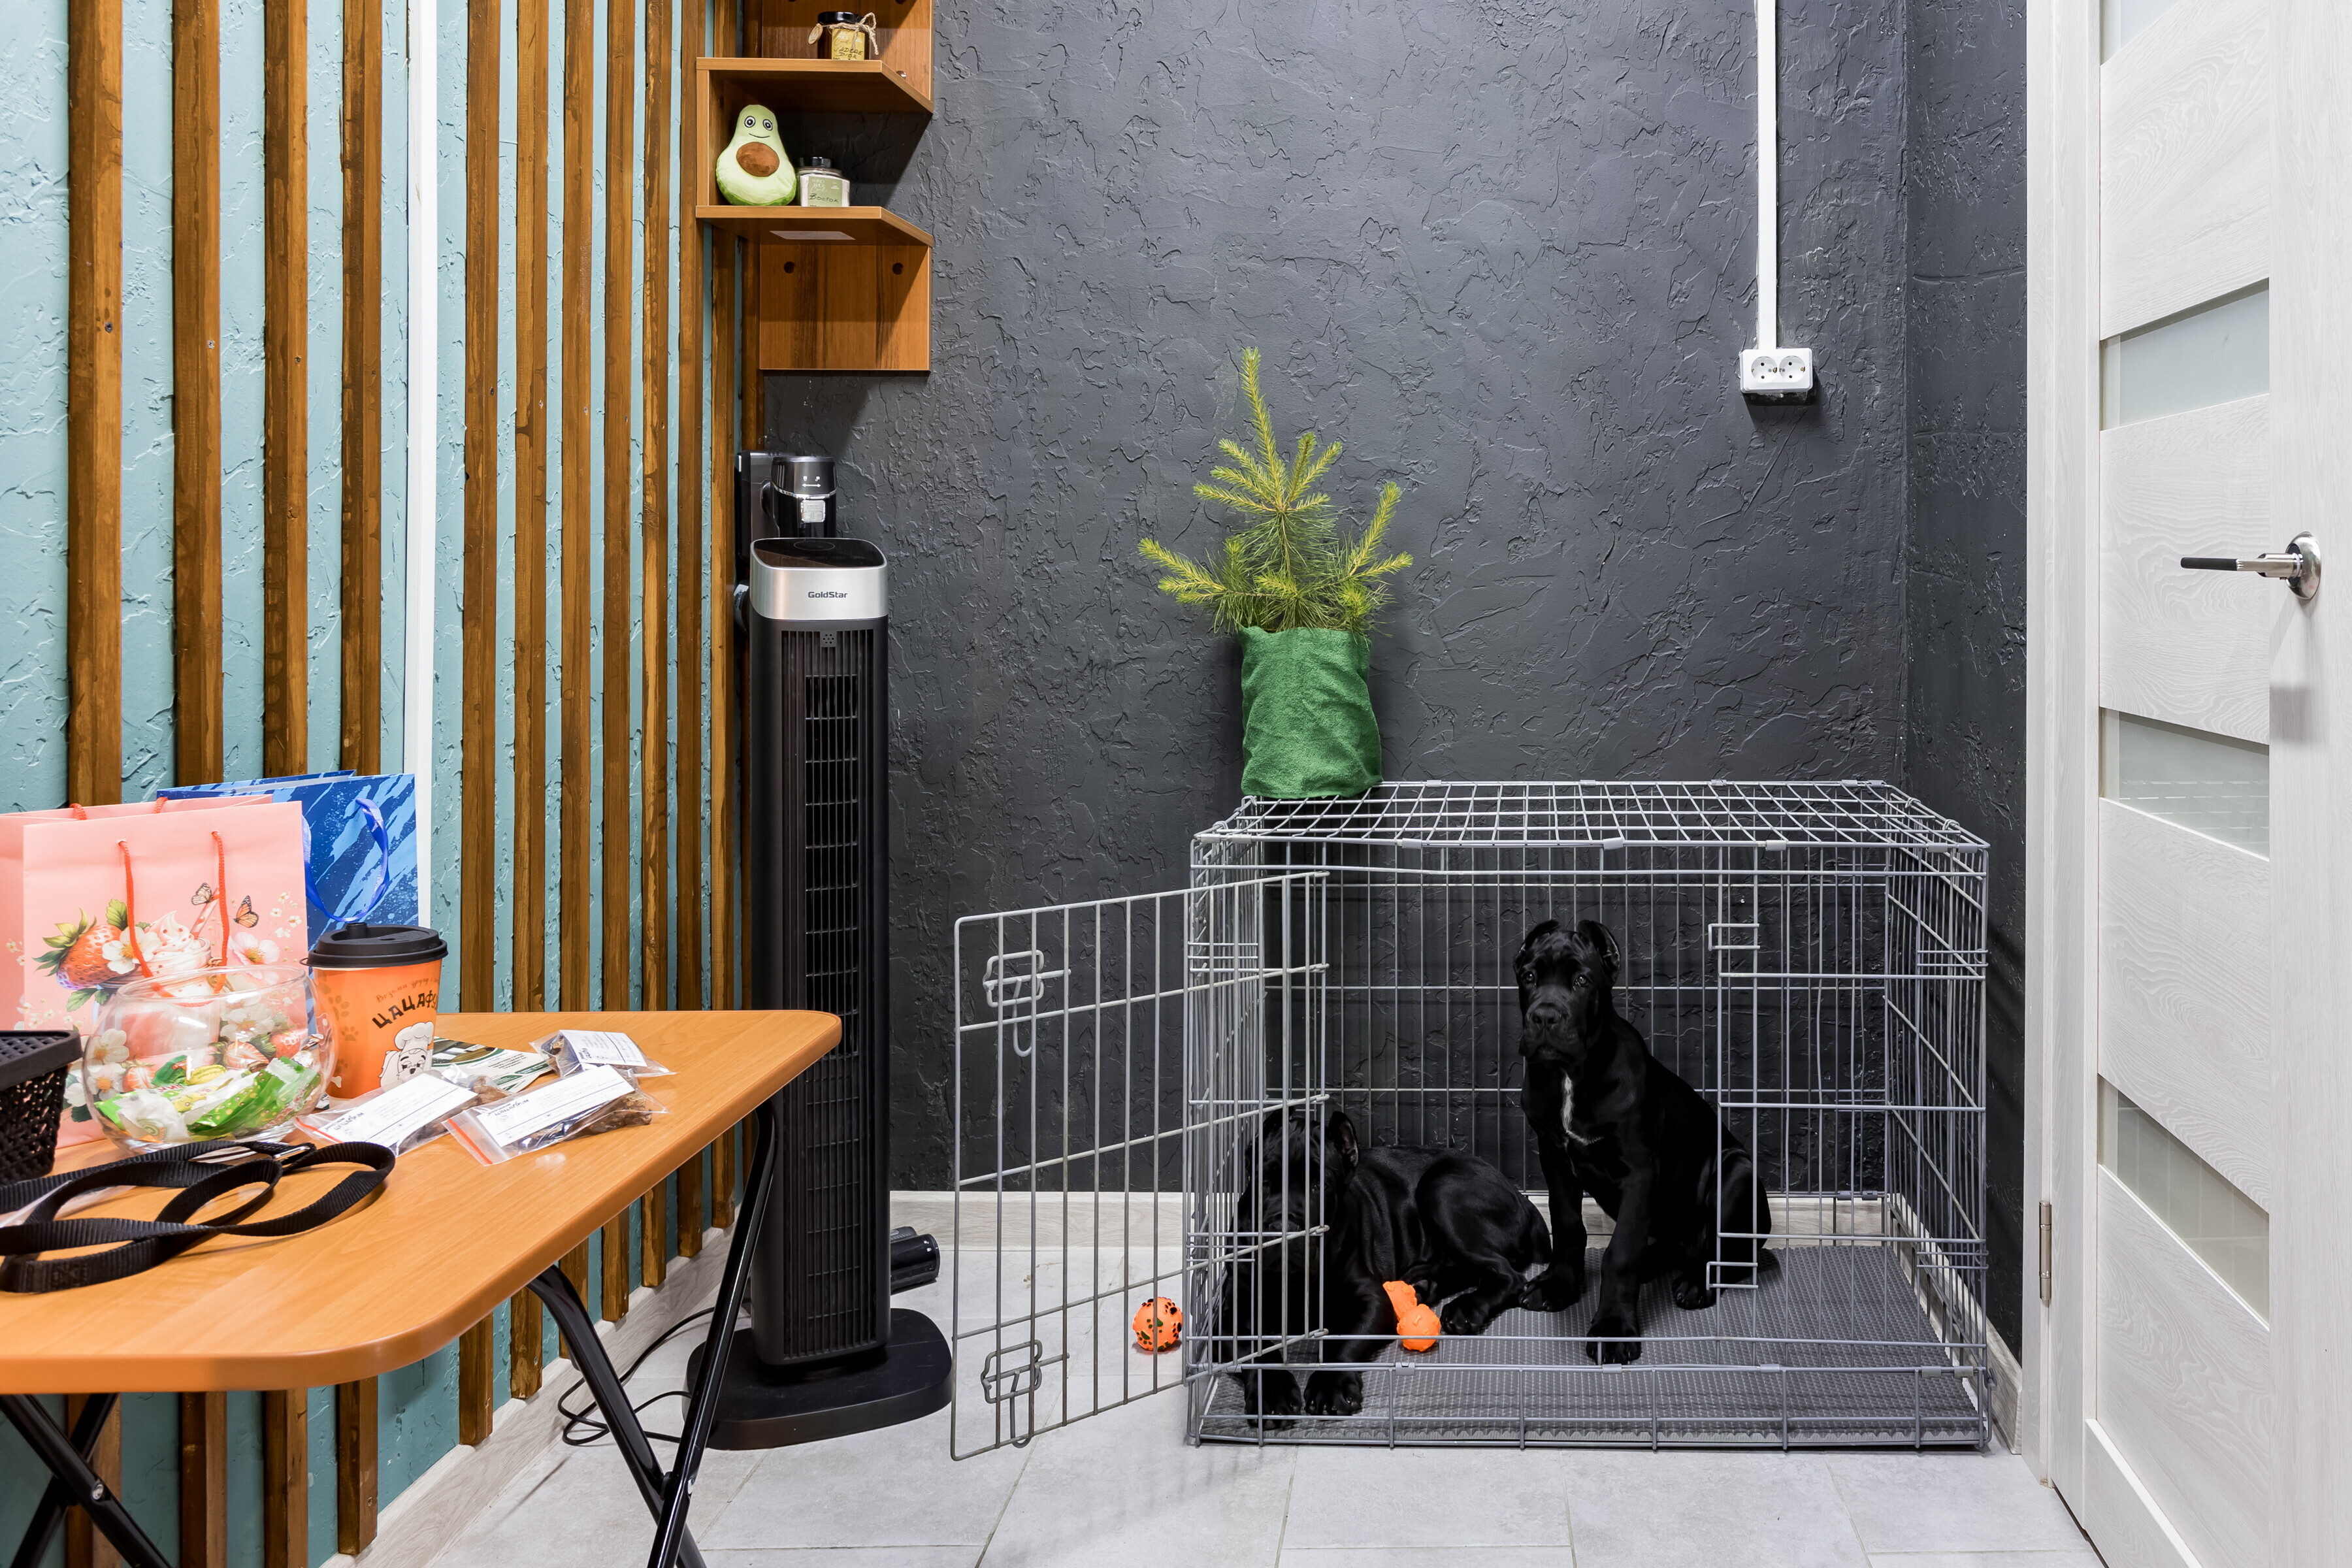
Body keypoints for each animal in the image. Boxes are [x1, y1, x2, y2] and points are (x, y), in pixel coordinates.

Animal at [1213, 1104, 1551, 1423]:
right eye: (1264, 1181)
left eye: (1319, 1186)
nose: (1284, 1228)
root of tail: (1524, 1197)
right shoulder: (1231, 1313)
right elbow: (1251, 1352)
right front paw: (1273, 1394)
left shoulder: (1372, 1300)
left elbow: (1343, 1341)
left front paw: (1330, 1387)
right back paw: (1424, 1285)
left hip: (1442, 1191)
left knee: (1507, 1274)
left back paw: (1465, 1309)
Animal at [1515, 918, 1774, 1363]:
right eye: (1529, 977)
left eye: (1582, 980)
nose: (1545, 1016)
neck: (1571, 1075)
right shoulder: (1554, 1157)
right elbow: (1567, 1226)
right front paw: (1558, 1285)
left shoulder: (1638, 1172)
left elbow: (1621, 1251)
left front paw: (1613, 1327)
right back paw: (1657, 1261)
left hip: (1736, 1173)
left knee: (1727, 1253)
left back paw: (1698, 1281)